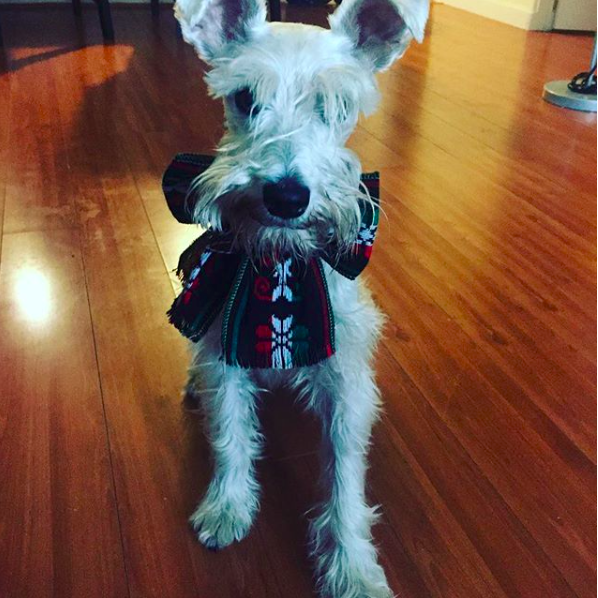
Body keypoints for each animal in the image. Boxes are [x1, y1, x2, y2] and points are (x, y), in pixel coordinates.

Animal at [169, 0, 428, 596]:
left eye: (338, 105)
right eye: (245, 98)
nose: (286, 195)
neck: (281, 263)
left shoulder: (348, 386)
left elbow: (344, 479)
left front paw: (352, 566)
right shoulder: (225, 359)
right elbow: (230, 434)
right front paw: (227, 505)